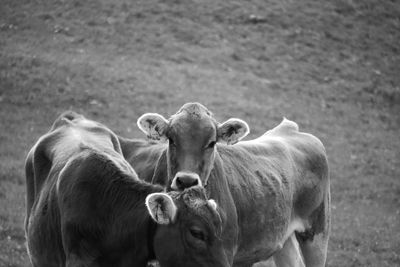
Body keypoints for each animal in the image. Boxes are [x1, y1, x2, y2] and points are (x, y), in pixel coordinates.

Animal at [121, 103, 332, 267]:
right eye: (171, 139)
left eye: (212, 143)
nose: (187, 180)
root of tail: (291, 129)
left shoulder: (224, 252)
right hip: (284, 239)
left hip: (317, 232)